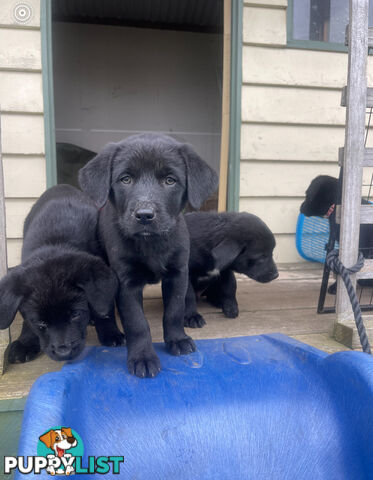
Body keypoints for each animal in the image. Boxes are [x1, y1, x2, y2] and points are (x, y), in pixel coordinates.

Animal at [0, 186, 123, 362]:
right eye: (41, 322)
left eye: (76, 314)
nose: (63, 353)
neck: (56, 244)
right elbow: (27, 321)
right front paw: (26, 342)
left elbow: (104, 307)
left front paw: (110, 332)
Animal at [79, 133, 218, 376]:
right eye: (125, 179)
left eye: (170, 180)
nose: (144, 215)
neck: (150, 242)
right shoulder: (125, 282)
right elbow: (137, 323)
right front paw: (142, 357)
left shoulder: (177, 273)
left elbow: (174, 310)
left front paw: (177, 339)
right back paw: (109, 333)